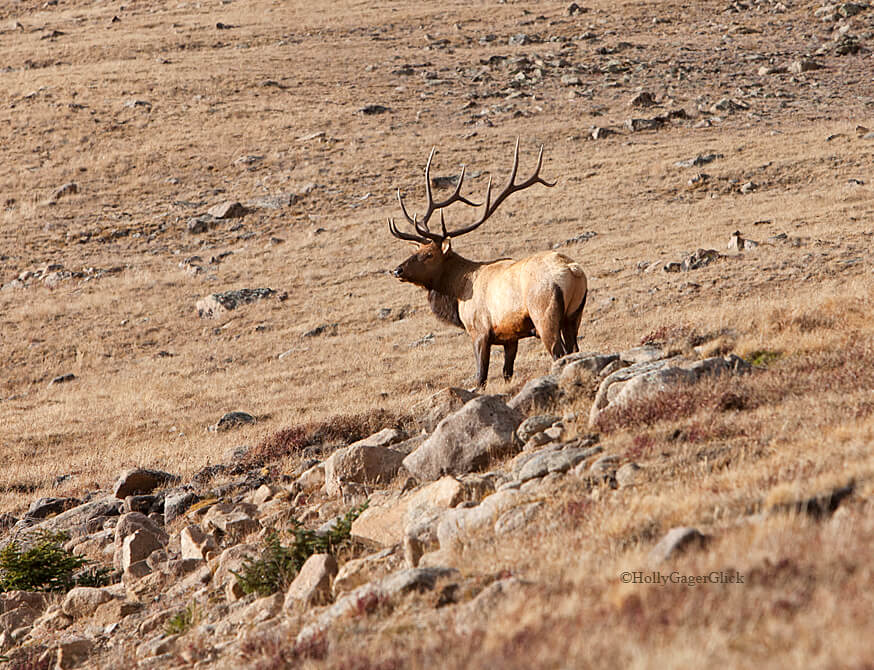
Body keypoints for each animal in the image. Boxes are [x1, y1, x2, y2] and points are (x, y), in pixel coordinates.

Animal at [386, 139, 584, 388]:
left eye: (430, 254)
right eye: (417, 250)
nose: (397, 270)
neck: (457, 291)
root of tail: (573, 271)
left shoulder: (479, 331)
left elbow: (481, 376)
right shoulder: (510, 336)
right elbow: (507, 372)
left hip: (544, 314)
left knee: (559, 353)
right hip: (574, 316)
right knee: (576, 350)